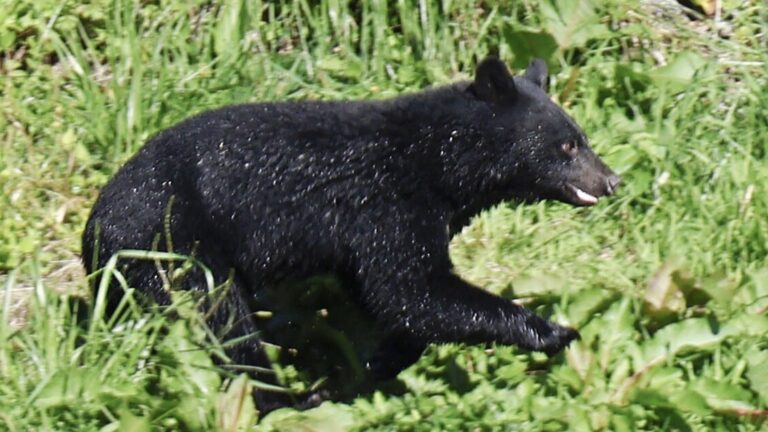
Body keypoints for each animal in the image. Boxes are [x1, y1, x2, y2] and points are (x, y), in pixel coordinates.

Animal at [82, 57, 619, 410]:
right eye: (568, 145)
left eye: (582, 137)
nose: (611, 180)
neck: (437, 161)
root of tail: (94, 232)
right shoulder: (387, 206)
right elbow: (410, 291)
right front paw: (553, 330)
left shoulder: (360, 239)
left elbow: (386, 302)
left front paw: (365, 371)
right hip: (173, 246)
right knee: (223, 321)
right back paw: (285, 399)